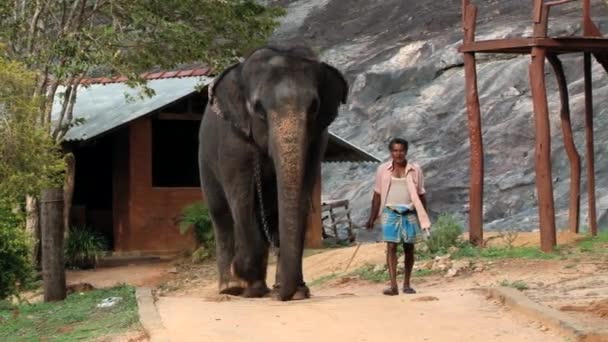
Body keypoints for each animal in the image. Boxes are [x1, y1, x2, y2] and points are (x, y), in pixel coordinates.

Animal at [200, 44, 346, 300]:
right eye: (258, 109)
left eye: (314, 107)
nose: (281, 294)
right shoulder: (233, 143)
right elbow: (241, 198)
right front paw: (250, 284)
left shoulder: (317, 141)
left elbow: (301, 193)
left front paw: (297, 292)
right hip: (205, 162)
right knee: (221, 213)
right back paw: (231, 288)